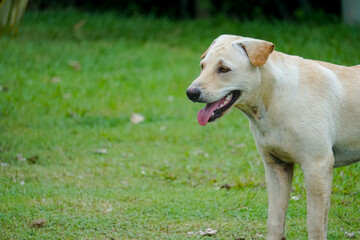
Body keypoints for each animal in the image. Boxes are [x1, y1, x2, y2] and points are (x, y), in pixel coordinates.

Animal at [186, 34, 360, 239]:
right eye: (202, 66)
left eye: (224, 69)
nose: (191, 93)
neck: (274, 99)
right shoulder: (276, 167)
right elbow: (274, 221)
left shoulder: (317, 166)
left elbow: (315, 225)